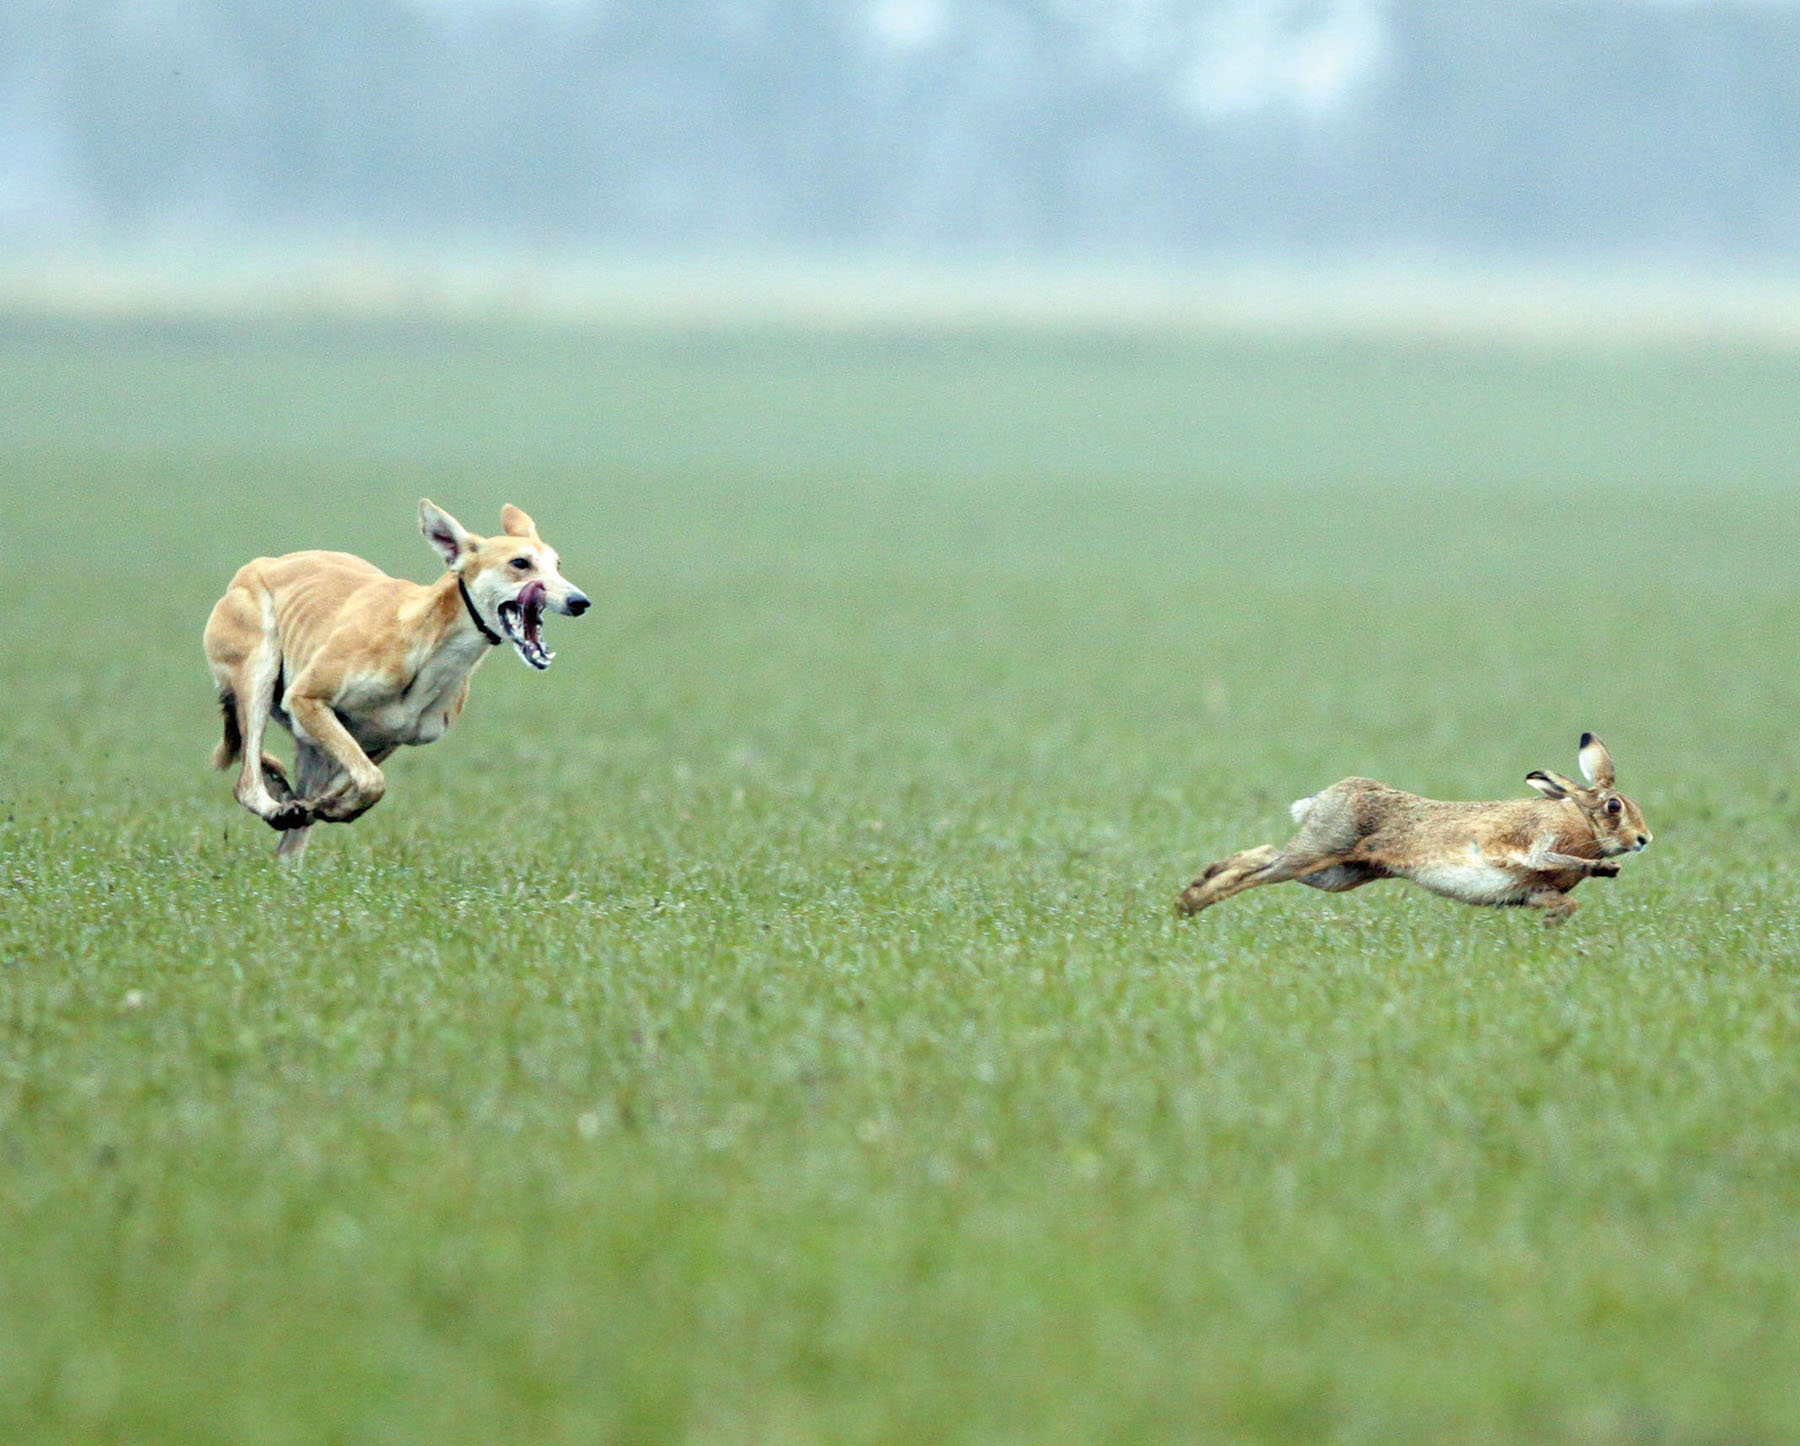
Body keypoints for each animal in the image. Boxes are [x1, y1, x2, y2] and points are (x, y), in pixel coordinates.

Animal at [1176, 733, 1651, 925]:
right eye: (1614, 807)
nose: (1644, 840)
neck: (1581, 819)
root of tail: (1322, 797)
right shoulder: (1532, 844)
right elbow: (1550, 856)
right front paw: (1604, 869)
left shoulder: (1533, 890)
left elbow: (1563, 902)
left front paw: (1553, 921)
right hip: (1321, 851)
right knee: (1255, 873)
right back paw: (1191, 903)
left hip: (1338, 873)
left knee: (1262, 857)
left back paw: (1193, 892)